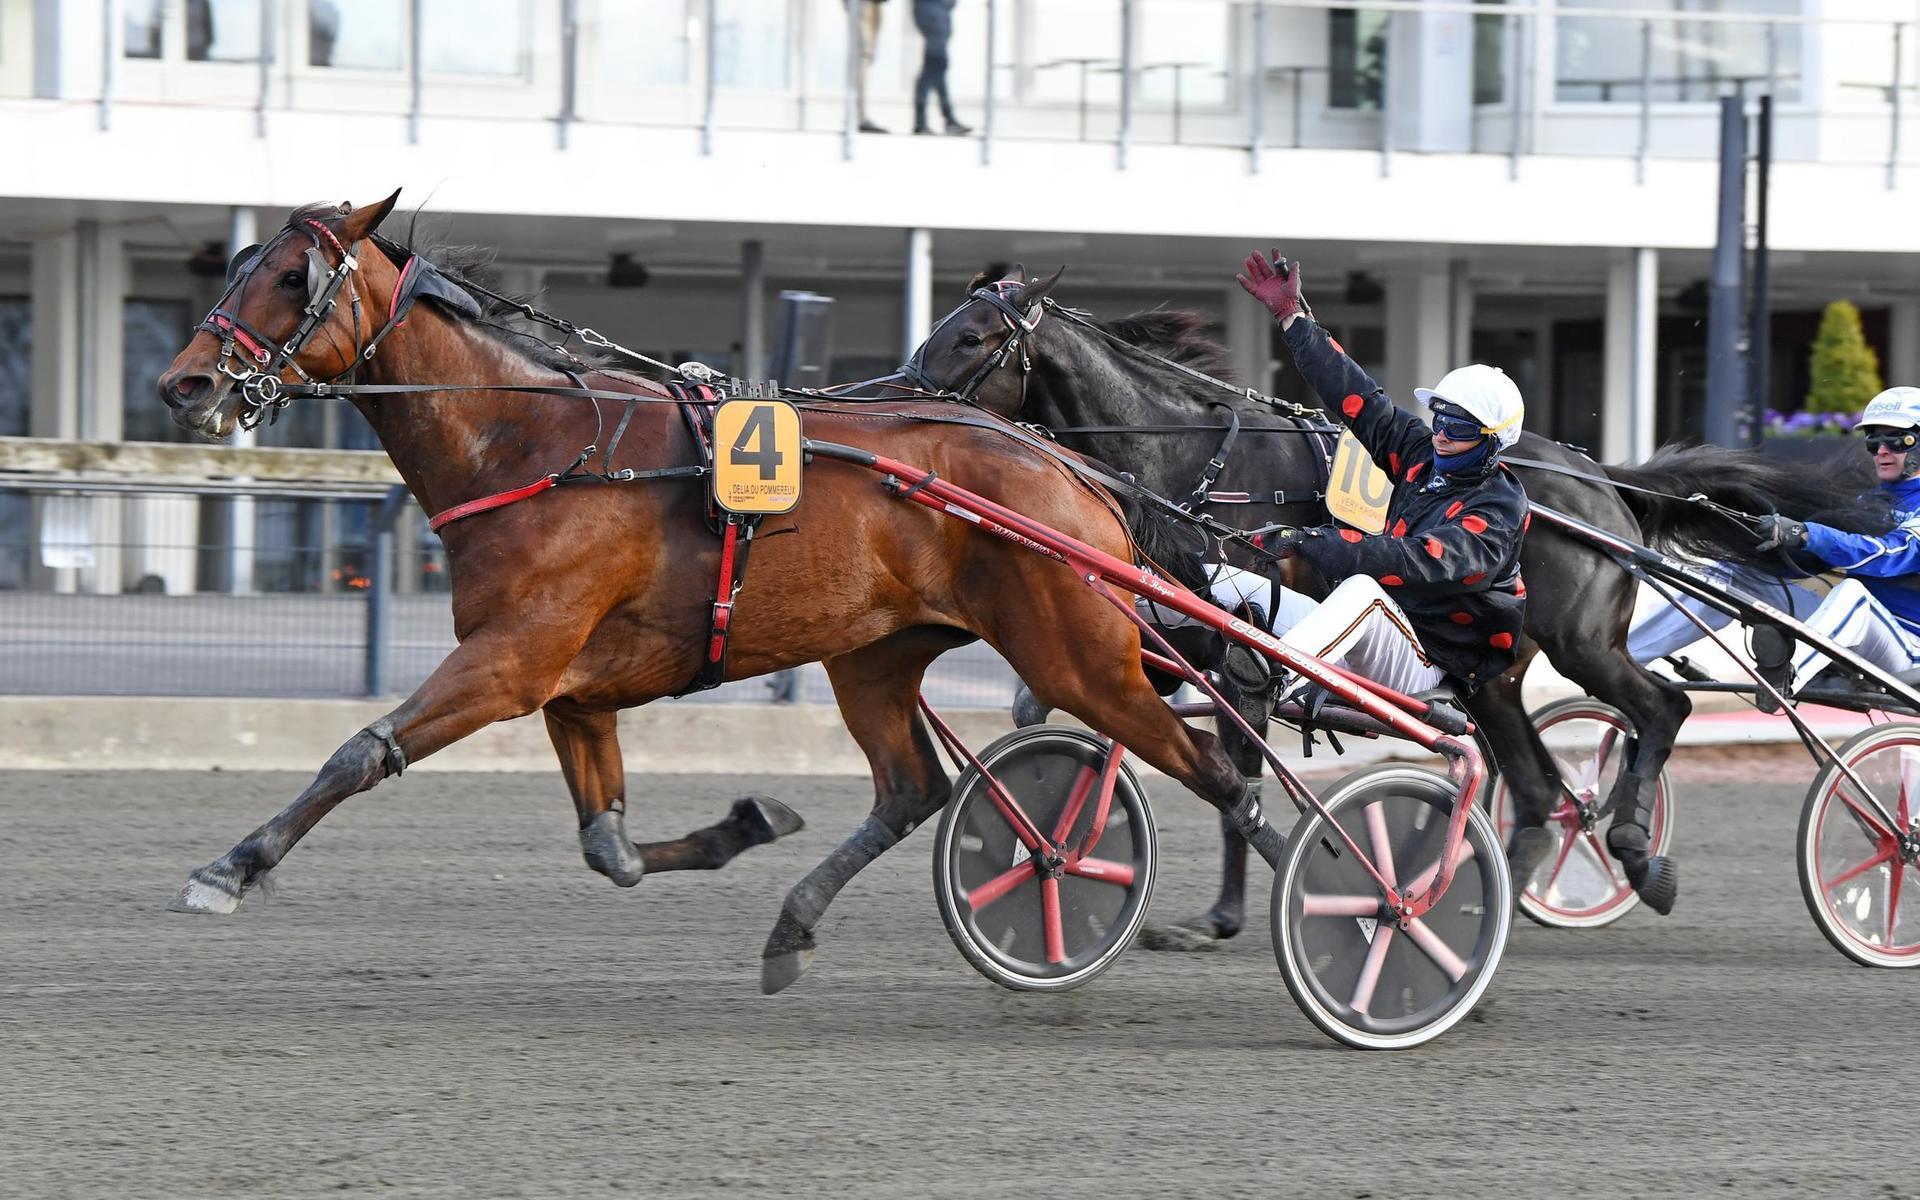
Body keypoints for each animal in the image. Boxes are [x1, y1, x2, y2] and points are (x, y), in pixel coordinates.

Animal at [157, 192, 1282, 990]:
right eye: (237, 263)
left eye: (290, 273)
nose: (184, 384)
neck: (543, 445)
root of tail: (1074, 469)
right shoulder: (575, 687)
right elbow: (609, 848)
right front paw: (748, 821)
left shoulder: (511, 661)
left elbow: (360, 752)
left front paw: (230, 868)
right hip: (876, 654)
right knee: (914, 789)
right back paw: (797, 923)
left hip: (1079, 655)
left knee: (1225, 773)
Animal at [902, 270, 1889, 944]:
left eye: (973, 335)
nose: (901, 388)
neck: (1193, 460)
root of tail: (1599, 479)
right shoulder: (1169, 627)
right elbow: (1068, 703)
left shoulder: (1245, 651)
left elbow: (1235, 779)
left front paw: (1221, 914)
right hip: (1493, 675)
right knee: (1539, 791)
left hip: (1580, 642)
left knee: (1662, 708)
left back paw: (1638, 849)